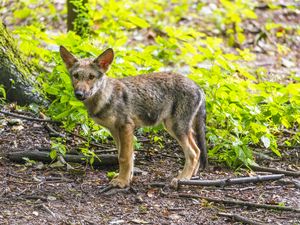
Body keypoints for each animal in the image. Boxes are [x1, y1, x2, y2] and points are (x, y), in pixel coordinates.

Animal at [59, 46, 207, 188]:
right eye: (76, 76)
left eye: (91, 77)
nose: (79, 94)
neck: (106, 98)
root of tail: (198, 87)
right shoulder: (115, 130)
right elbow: (127, 156)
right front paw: (127, 179)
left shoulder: (126, 126)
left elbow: (124, 157)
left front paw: (122, 182)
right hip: (178, 128)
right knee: (198, 150)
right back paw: (192, 176)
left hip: (175, 128)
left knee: (193, 153)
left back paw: (181, 179)